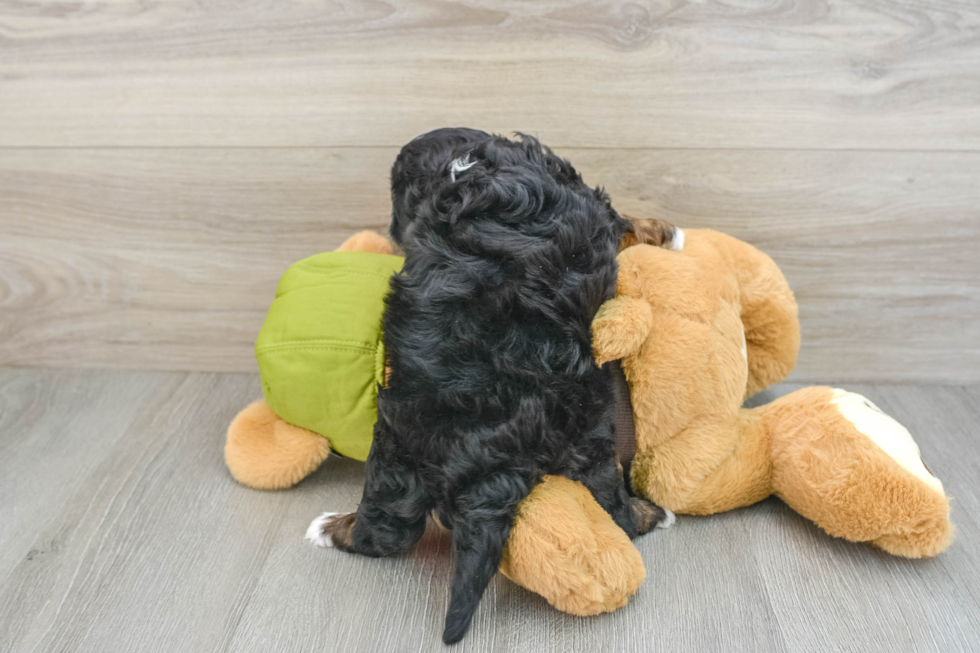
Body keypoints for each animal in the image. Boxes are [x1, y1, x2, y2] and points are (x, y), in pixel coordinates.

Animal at [310, 127, 668, 640]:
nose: (393, 234)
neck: (463, 167)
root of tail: (491, 458)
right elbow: (624, 220)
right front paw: (661, 229)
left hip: (399, 451)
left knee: (388, 531)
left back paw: (333, 527)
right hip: (586, 435)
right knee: (615, 509)